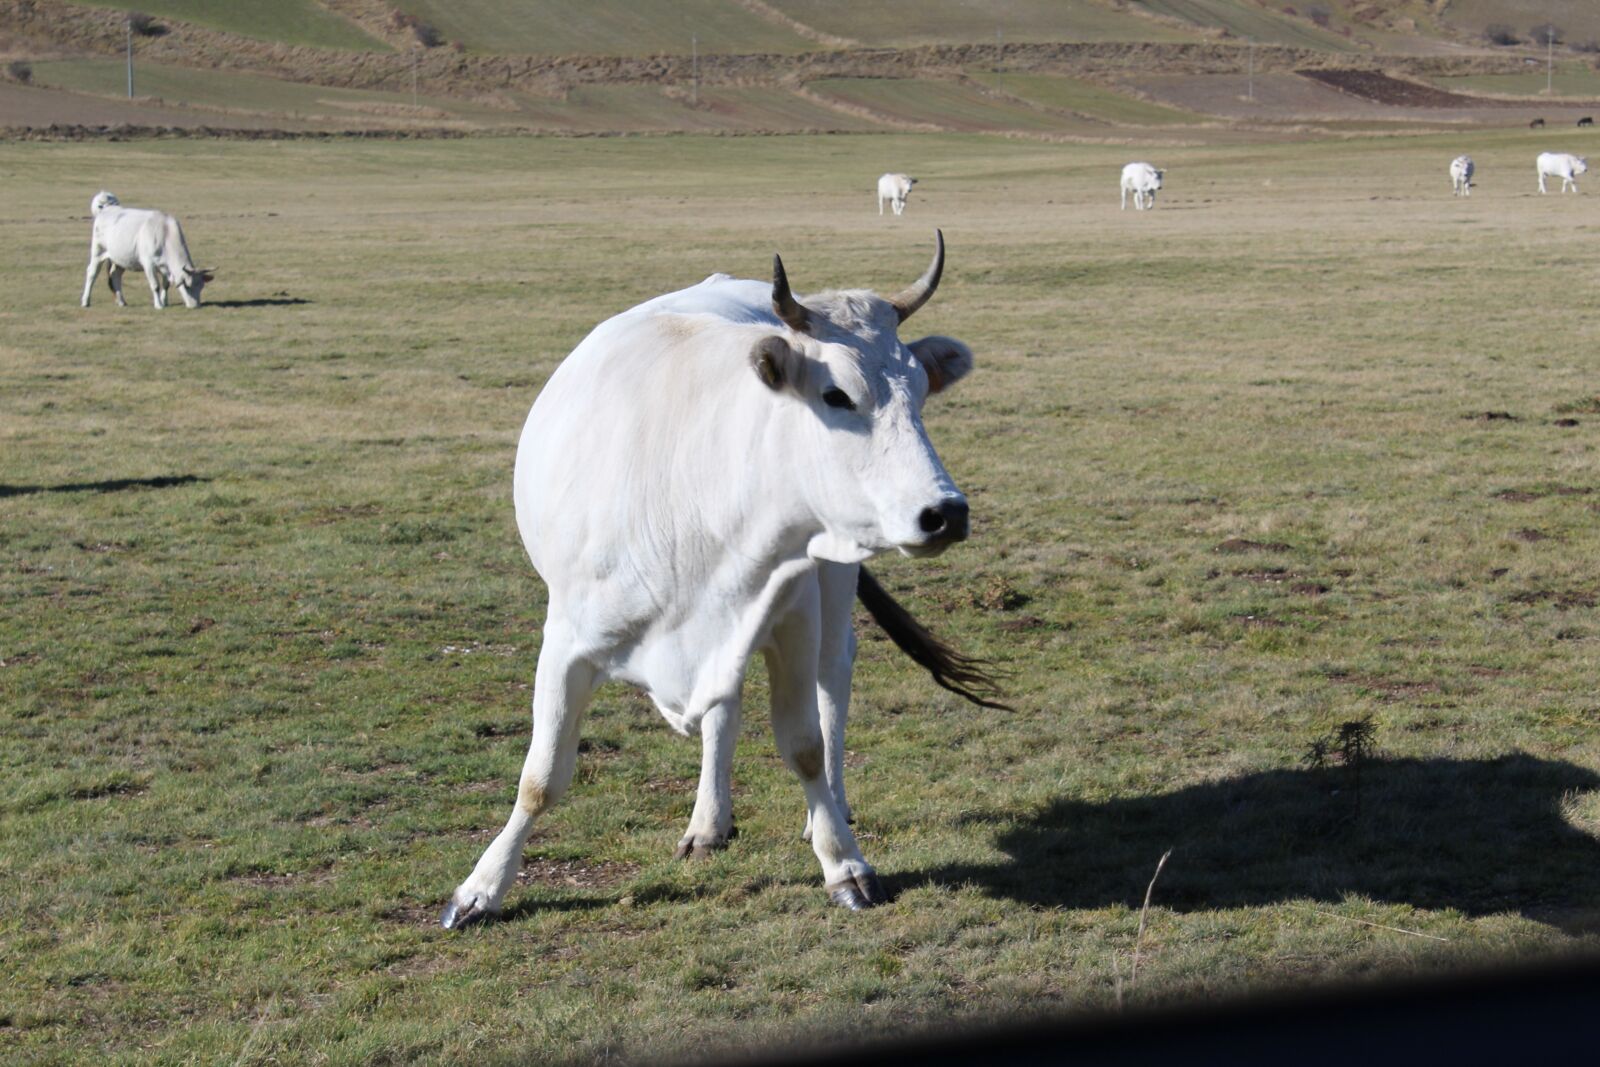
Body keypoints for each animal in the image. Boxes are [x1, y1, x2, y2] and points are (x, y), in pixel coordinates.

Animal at [80, 191, 213, 309]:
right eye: (187, 286)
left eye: (201, 286)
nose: (195, 306)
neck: (165, 234)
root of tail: (106, 209)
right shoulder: (148, 263)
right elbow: (155, 285)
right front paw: (159, 305)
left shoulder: (165, 265)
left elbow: (166, 284)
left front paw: (165, 302)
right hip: (98, 252)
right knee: (92, 273)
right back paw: (85, 301)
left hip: (121, 258)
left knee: (115, 275)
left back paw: (122, 302)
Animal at [439, 233, 1000, 929]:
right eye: (836, 394)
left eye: (921, 393)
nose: (945, 512)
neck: (692, 497)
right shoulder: (567, 638)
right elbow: (542, 775)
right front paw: (482, 887)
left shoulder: (794, 618)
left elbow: (804, 745)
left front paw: (843, 863)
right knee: (724, 710)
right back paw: (709, 823)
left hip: (835, 574)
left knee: (834, 677)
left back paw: (831, 805)